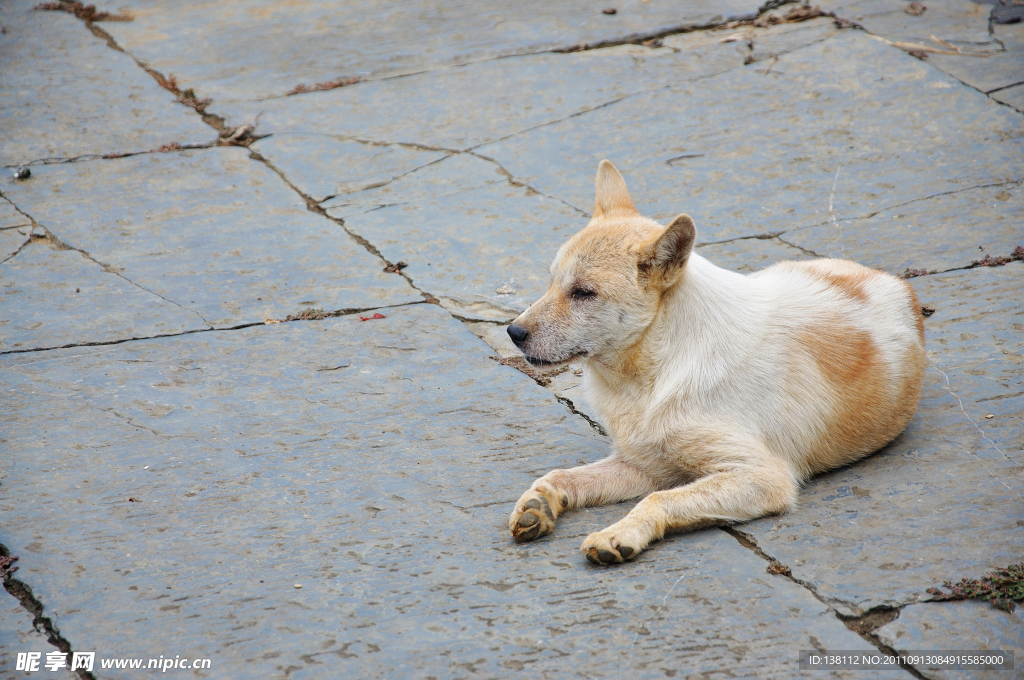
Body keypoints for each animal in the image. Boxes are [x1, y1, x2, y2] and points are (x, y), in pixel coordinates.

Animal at [505, 157, 929, 561]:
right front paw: (538, 504)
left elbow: (657, 500)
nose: (513, 332)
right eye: (551, 282)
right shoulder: (646, 465)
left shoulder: (762, 476)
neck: (655, 375)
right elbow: (561, 476)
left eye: (583, 293)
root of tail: (897, 283)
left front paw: (619, 533)